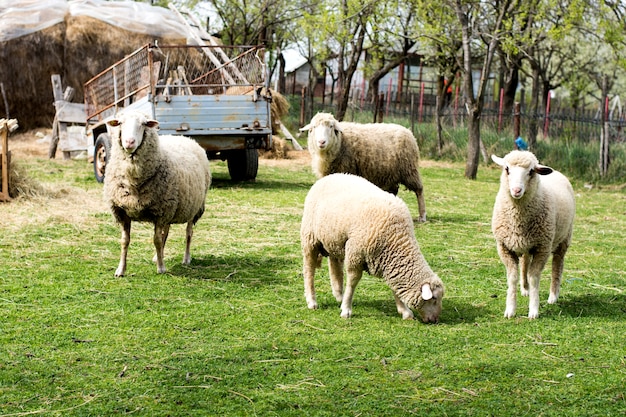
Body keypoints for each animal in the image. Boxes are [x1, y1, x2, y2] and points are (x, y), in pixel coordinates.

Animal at [101, 109, 211, 276]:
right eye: (120, 123)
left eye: (143, 124)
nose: (129, 142)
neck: (133, 180)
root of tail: (184, 138)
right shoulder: (122, 211)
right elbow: (125, 241)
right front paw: (120, 269)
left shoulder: (160, 212)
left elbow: (157, 240)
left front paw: (161, 268)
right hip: (172, 207)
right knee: (167, 231)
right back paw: (157, 256)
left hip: (193, 207)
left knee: (188, 233)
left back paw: (185, 258)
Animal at [298, 172, 442, 322]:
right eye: (434, 299)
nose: (435, 320)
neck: (396, 238)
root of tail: (328, 177)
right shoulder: (356, 253)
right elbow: (352, 282)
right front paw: (346, 309)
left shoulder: (388, 263)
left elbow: (394, 287)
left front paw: (405, 311)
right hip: (310, 238)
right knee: (309, 270)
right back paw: (312, 301)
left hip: (335, 241)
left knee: (335, 266)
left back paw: (339, 295)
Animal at [490, 150, 572, 318]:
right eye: (507, 169)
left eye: (531, 171)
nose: (516, 190)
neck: (517, 218)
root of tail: (557, 172)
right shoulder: (504, 247)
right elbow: (512, 278)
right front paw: (510, 309)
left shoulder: (542, 248)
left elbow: (534, 277)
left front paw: (533, 311)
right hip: (525, 245)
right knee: (525, 263)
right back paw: (525, 289)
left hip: (563, 239)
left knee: (557, 265)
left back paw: (553, 296)